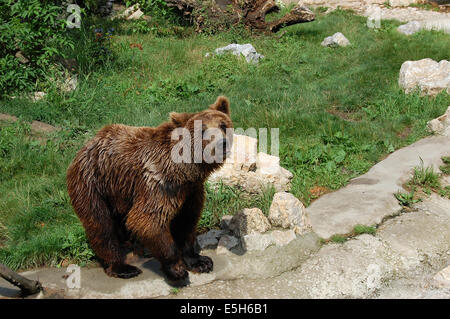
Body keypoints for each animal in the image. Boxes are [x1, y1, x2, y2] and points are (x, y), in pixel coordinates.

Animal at [67, 95, 236, 282]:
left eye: (223, 125)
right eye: (202, 130)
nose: (221, 143)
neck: (187, 170)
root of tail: (88, 143)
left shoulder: (191, 191)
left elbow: (187, 221)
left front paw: (200, 261)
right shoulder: (160, 183)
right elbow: (147, 220)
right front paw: (176, 269)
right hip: (93, 184)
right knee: (101, 225)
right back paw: (123, 267)